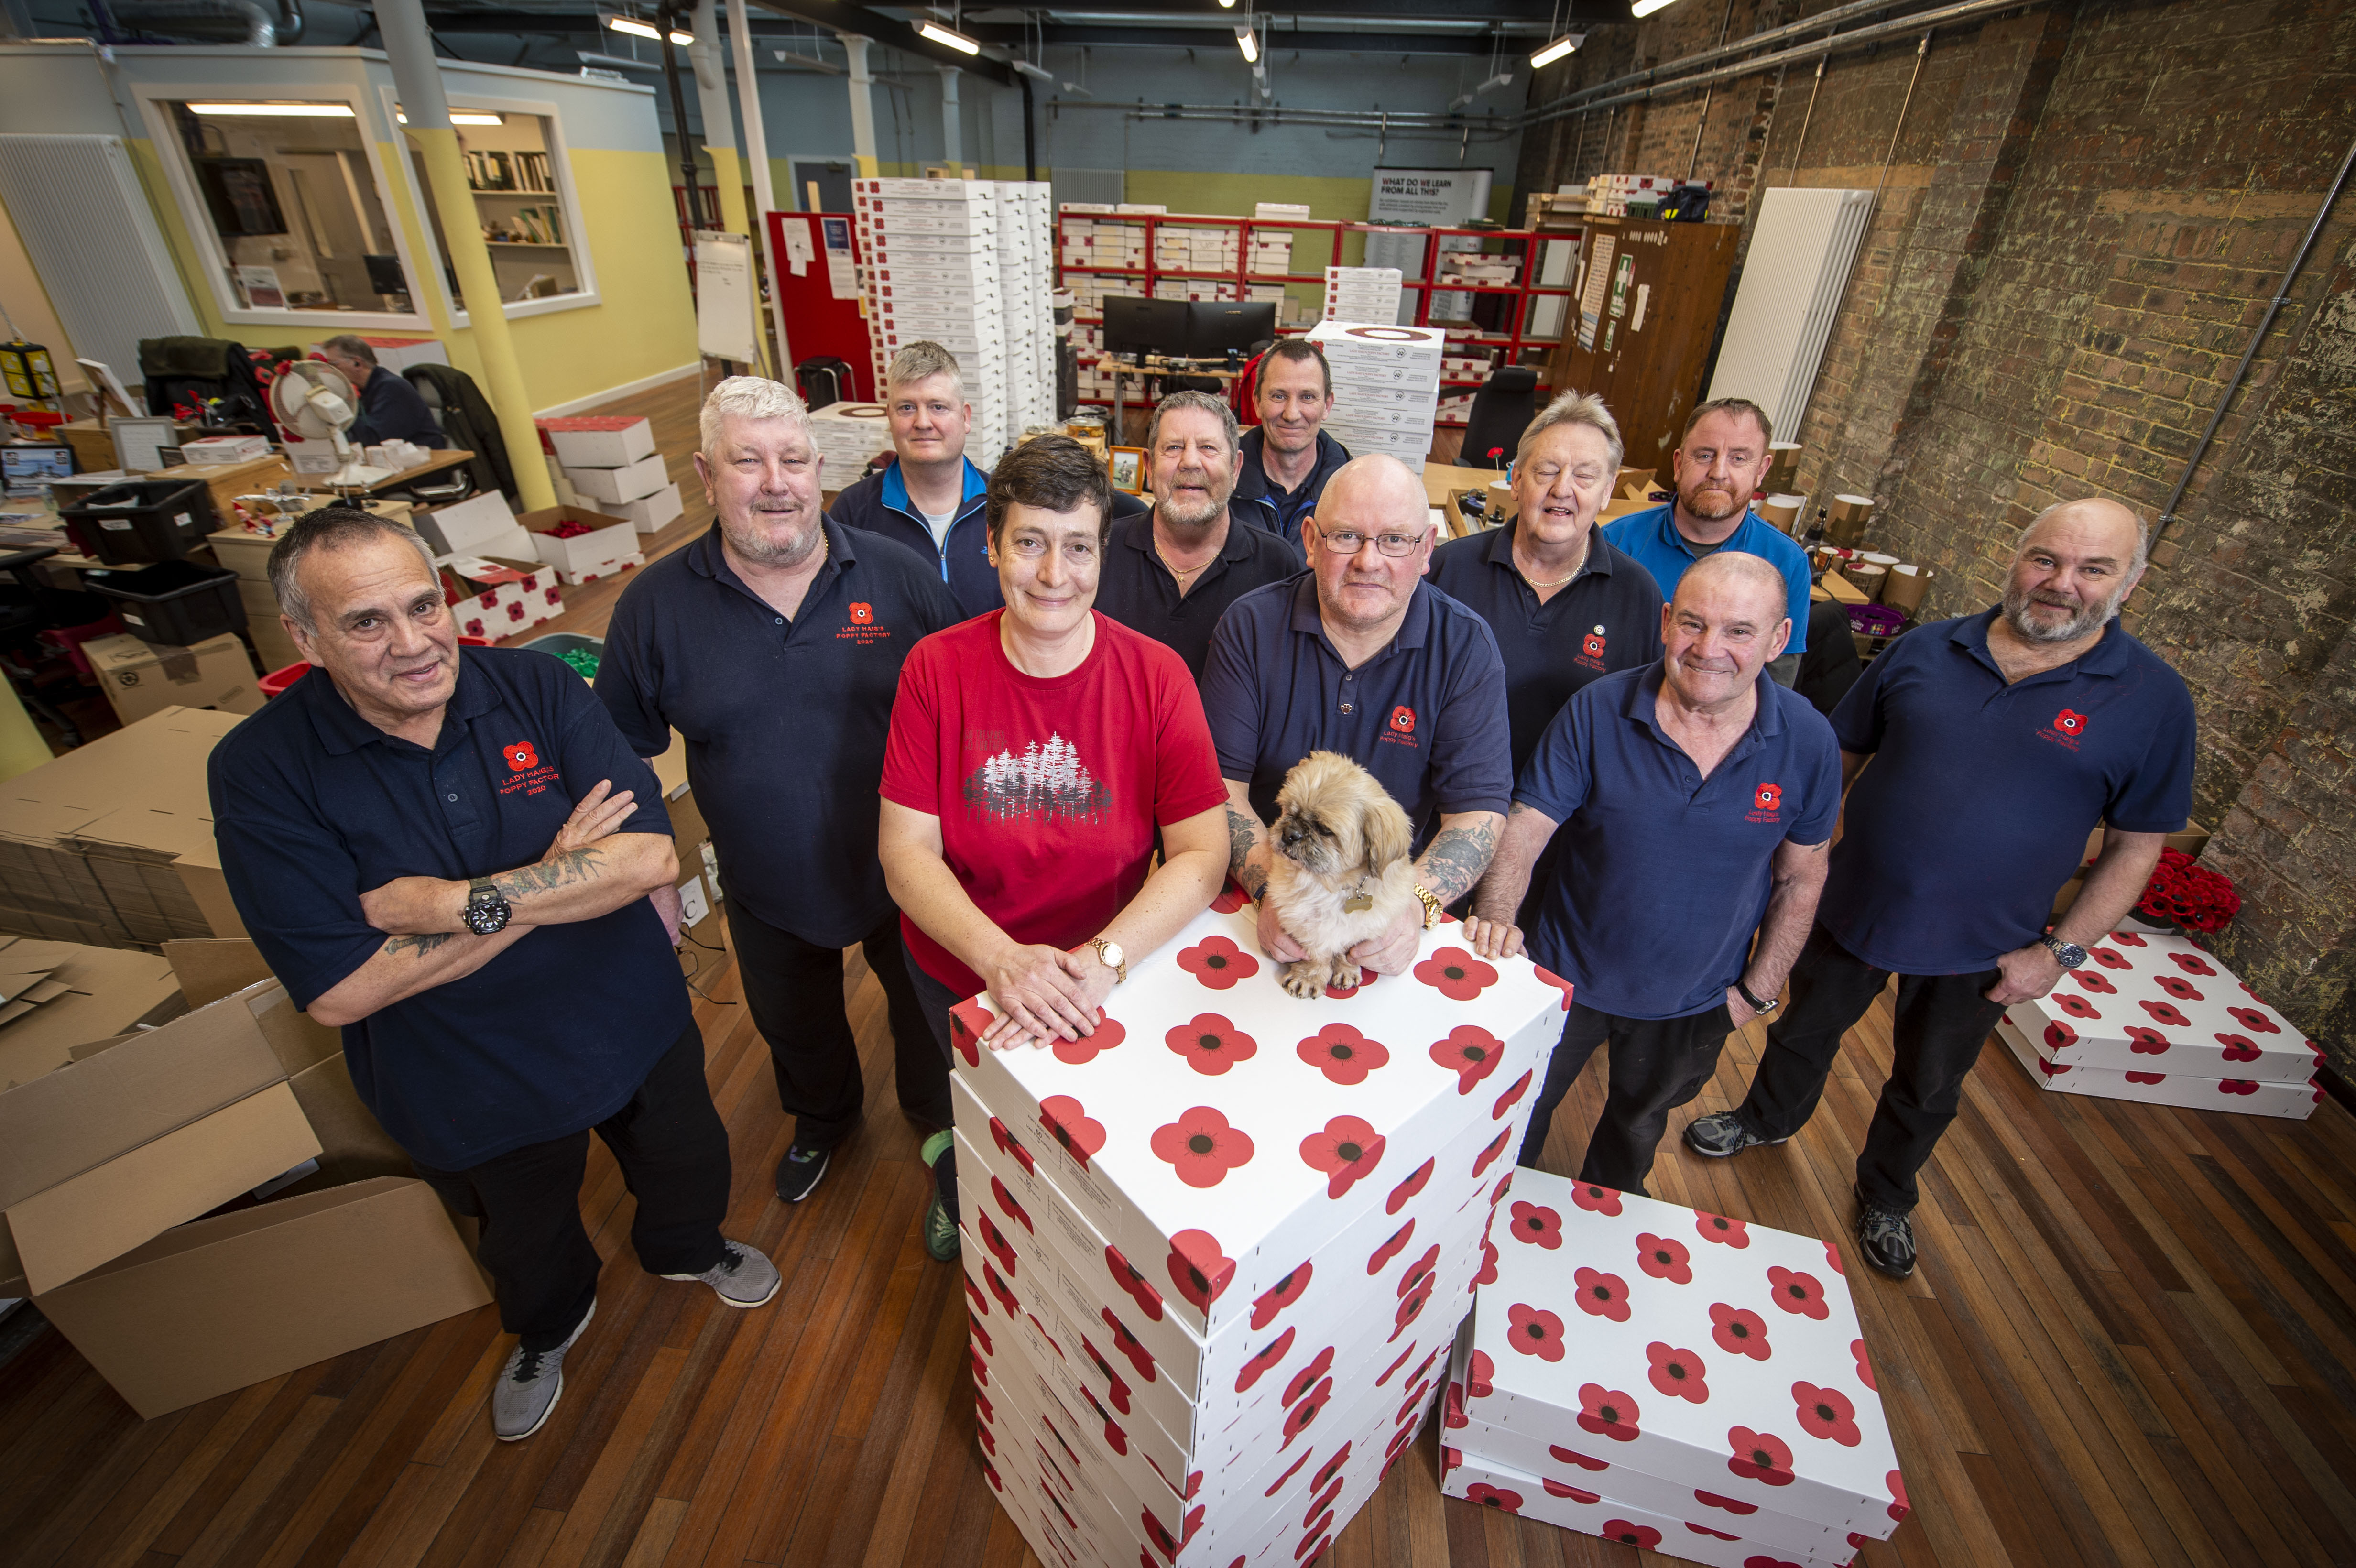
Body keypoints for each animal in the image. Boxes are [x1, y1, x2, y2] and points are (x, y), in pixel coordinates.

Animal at [1272, 753, 1413, 993]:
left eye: (1325, 830)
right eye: (1289, 810)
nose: (1290, 833)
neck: (1331, 885)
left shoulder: (1363, 926)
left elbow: (1346, 949)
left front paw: (1345, 969)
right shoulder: (1304, 920)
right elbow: (1316, 952)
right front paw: (1309, 976)